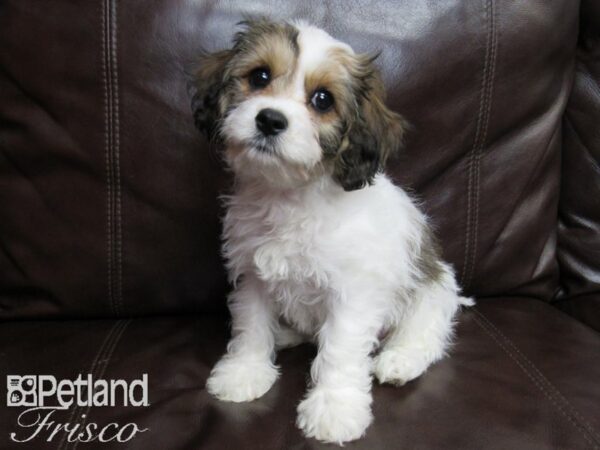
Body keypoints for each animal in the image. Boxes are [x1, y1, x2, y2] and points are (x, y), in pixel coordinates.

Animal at [192, 18, 474, 446]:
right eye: (259, 76)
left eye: (323, 100)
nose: (269, 119)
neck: (291, 197)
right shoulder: (254, 277)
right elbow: (252, 324)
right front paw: (245, 371)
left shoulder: (353, 295)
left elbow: (339, 350)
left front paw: (334, 408)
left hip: (431, 292)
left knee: (426, 335)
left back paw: (400, 360)